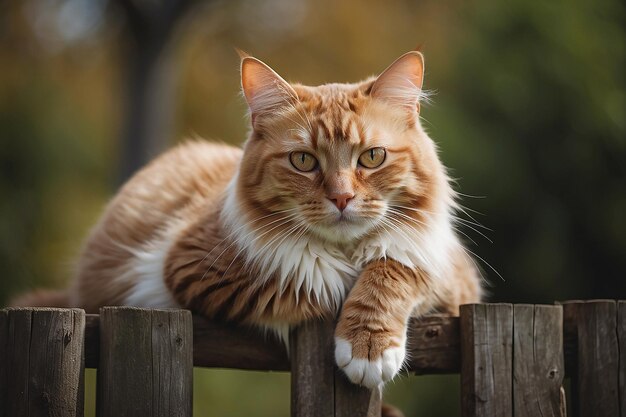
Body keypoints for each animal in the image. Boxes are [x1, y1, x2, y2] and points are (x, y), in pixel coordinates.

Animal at [12, 51, 480, 386]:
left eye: (372, 157)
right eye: (303, 161)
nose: (342, 198)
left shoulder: (451, 274)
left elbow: (393, 267)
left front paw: (369, 345)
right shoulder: (191, 266)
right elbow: (315, 277)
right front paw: (353, 320)